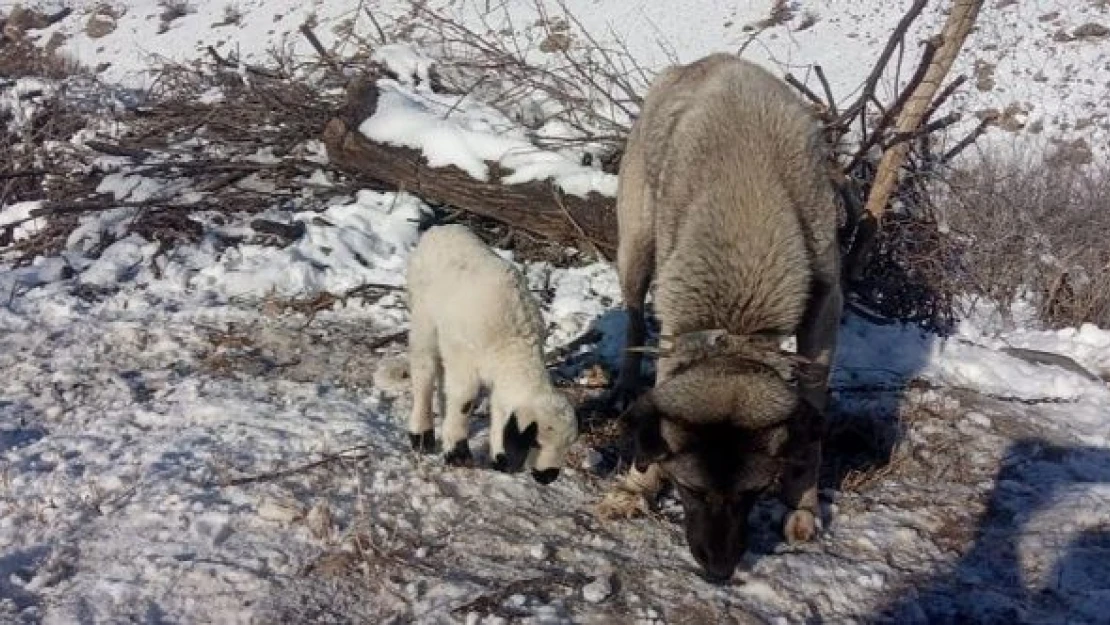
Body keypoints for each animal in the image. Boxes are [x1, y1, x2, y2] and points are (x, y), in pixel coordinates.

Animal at [404, 225, 577, 484]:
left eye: (567, 447)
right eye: (536, 442)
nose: (548, 476)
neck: (513, 347)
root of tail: (440, 229)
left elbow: (498, 408)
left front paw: (498, 459)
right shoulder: (465, 361)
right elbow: (465, 400)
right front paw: (457, 453)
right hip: (423, 315)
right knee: (424, 368)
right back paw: (421, 434)